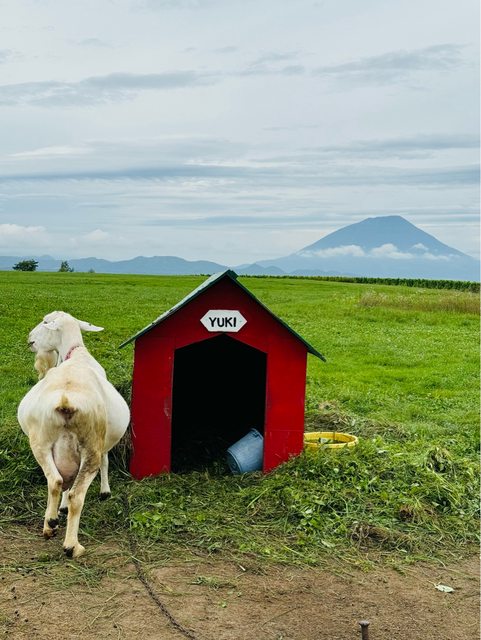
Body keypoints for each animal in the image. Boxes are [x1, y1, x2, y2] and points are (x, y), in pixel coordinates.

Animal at [17, 311, 130, 558]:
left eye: (45, 322)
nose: (30, 340)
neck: (76, 354)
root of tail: (66, 400)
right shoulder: (100, 444)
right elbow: (103, 463)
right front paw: (103, 492)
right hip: (83, 446)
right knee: (72, 492)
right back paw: (68, 542)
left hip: (42, 442)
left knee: (57, 481)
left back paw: (53, 527)